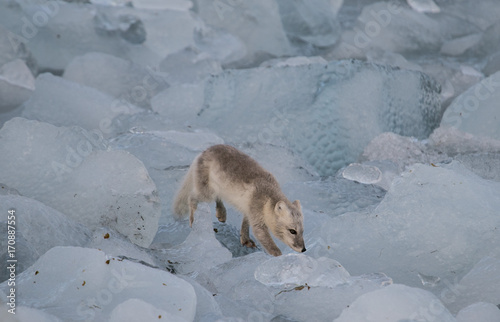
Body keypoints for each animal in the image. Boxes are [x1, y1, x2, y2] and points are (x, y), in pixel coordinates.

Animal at [172, 144, 304, 256]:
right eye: (292, 231)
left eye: (302, 230)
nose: (304, 249)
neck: (267, 196)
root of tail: (203, 152)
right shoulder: (256, 216)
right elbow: (265, 240)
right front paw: (280, 257)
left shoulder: (249, 209)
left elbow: (245, 224)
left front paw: (245, 240)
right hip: (206, 193)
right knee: (192, 198)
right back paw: (193, 220)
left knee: (217, 198)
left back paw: (221, 214)